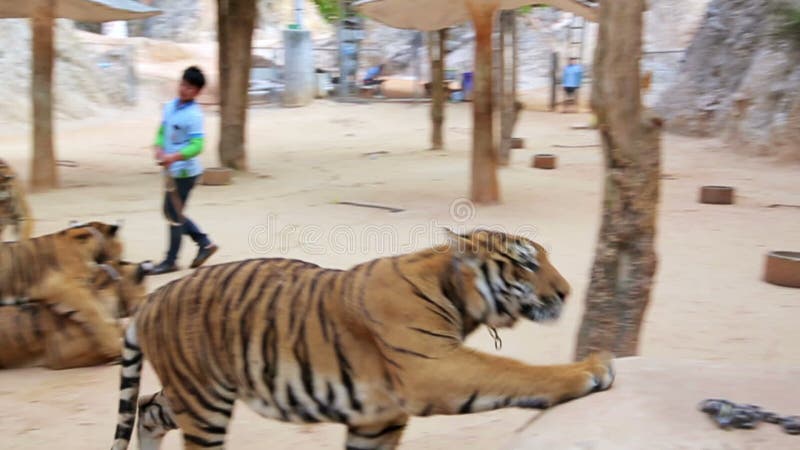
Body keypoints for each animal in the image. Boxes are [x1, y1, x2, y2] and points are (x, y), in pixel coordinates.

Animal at [111, 230, 612, 448]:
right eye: (527, 262)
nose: (567, 293)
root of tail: (152, 299)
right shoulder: (434, 368)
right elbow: (517, 371)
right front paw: (591, 369)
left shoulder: (377, 419)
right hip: (204, 404)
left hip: (195, 393)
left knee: (146, 409)